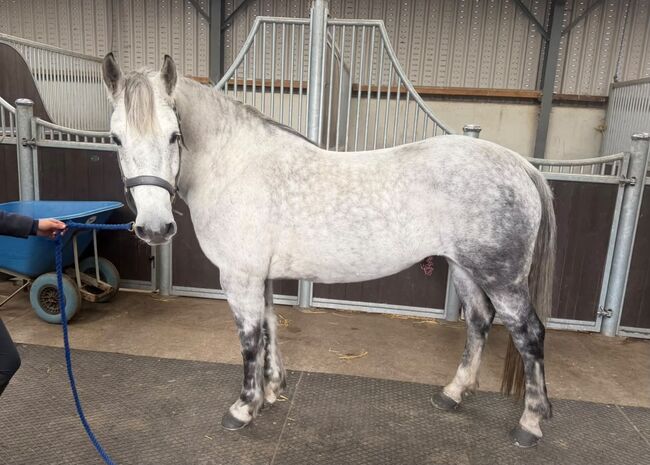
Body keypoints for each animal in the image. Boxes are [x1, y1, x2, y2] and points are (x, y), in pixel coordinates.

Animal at [102, 53, 556, 448]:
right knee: (479, 322)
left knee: (529, 334)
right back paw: (453, 393)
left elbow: (248, 340)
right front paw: (272, 390)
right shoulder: (261, 277)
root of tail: (520, 164)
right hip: (465, 269)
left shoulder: (239, 277)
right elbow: (269, 327)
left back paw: (530, 424)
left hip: (503, 278)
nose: (155, 228)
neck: (236, 167)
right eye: (116, 138)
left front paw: (244, 407)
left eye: (174, 135)